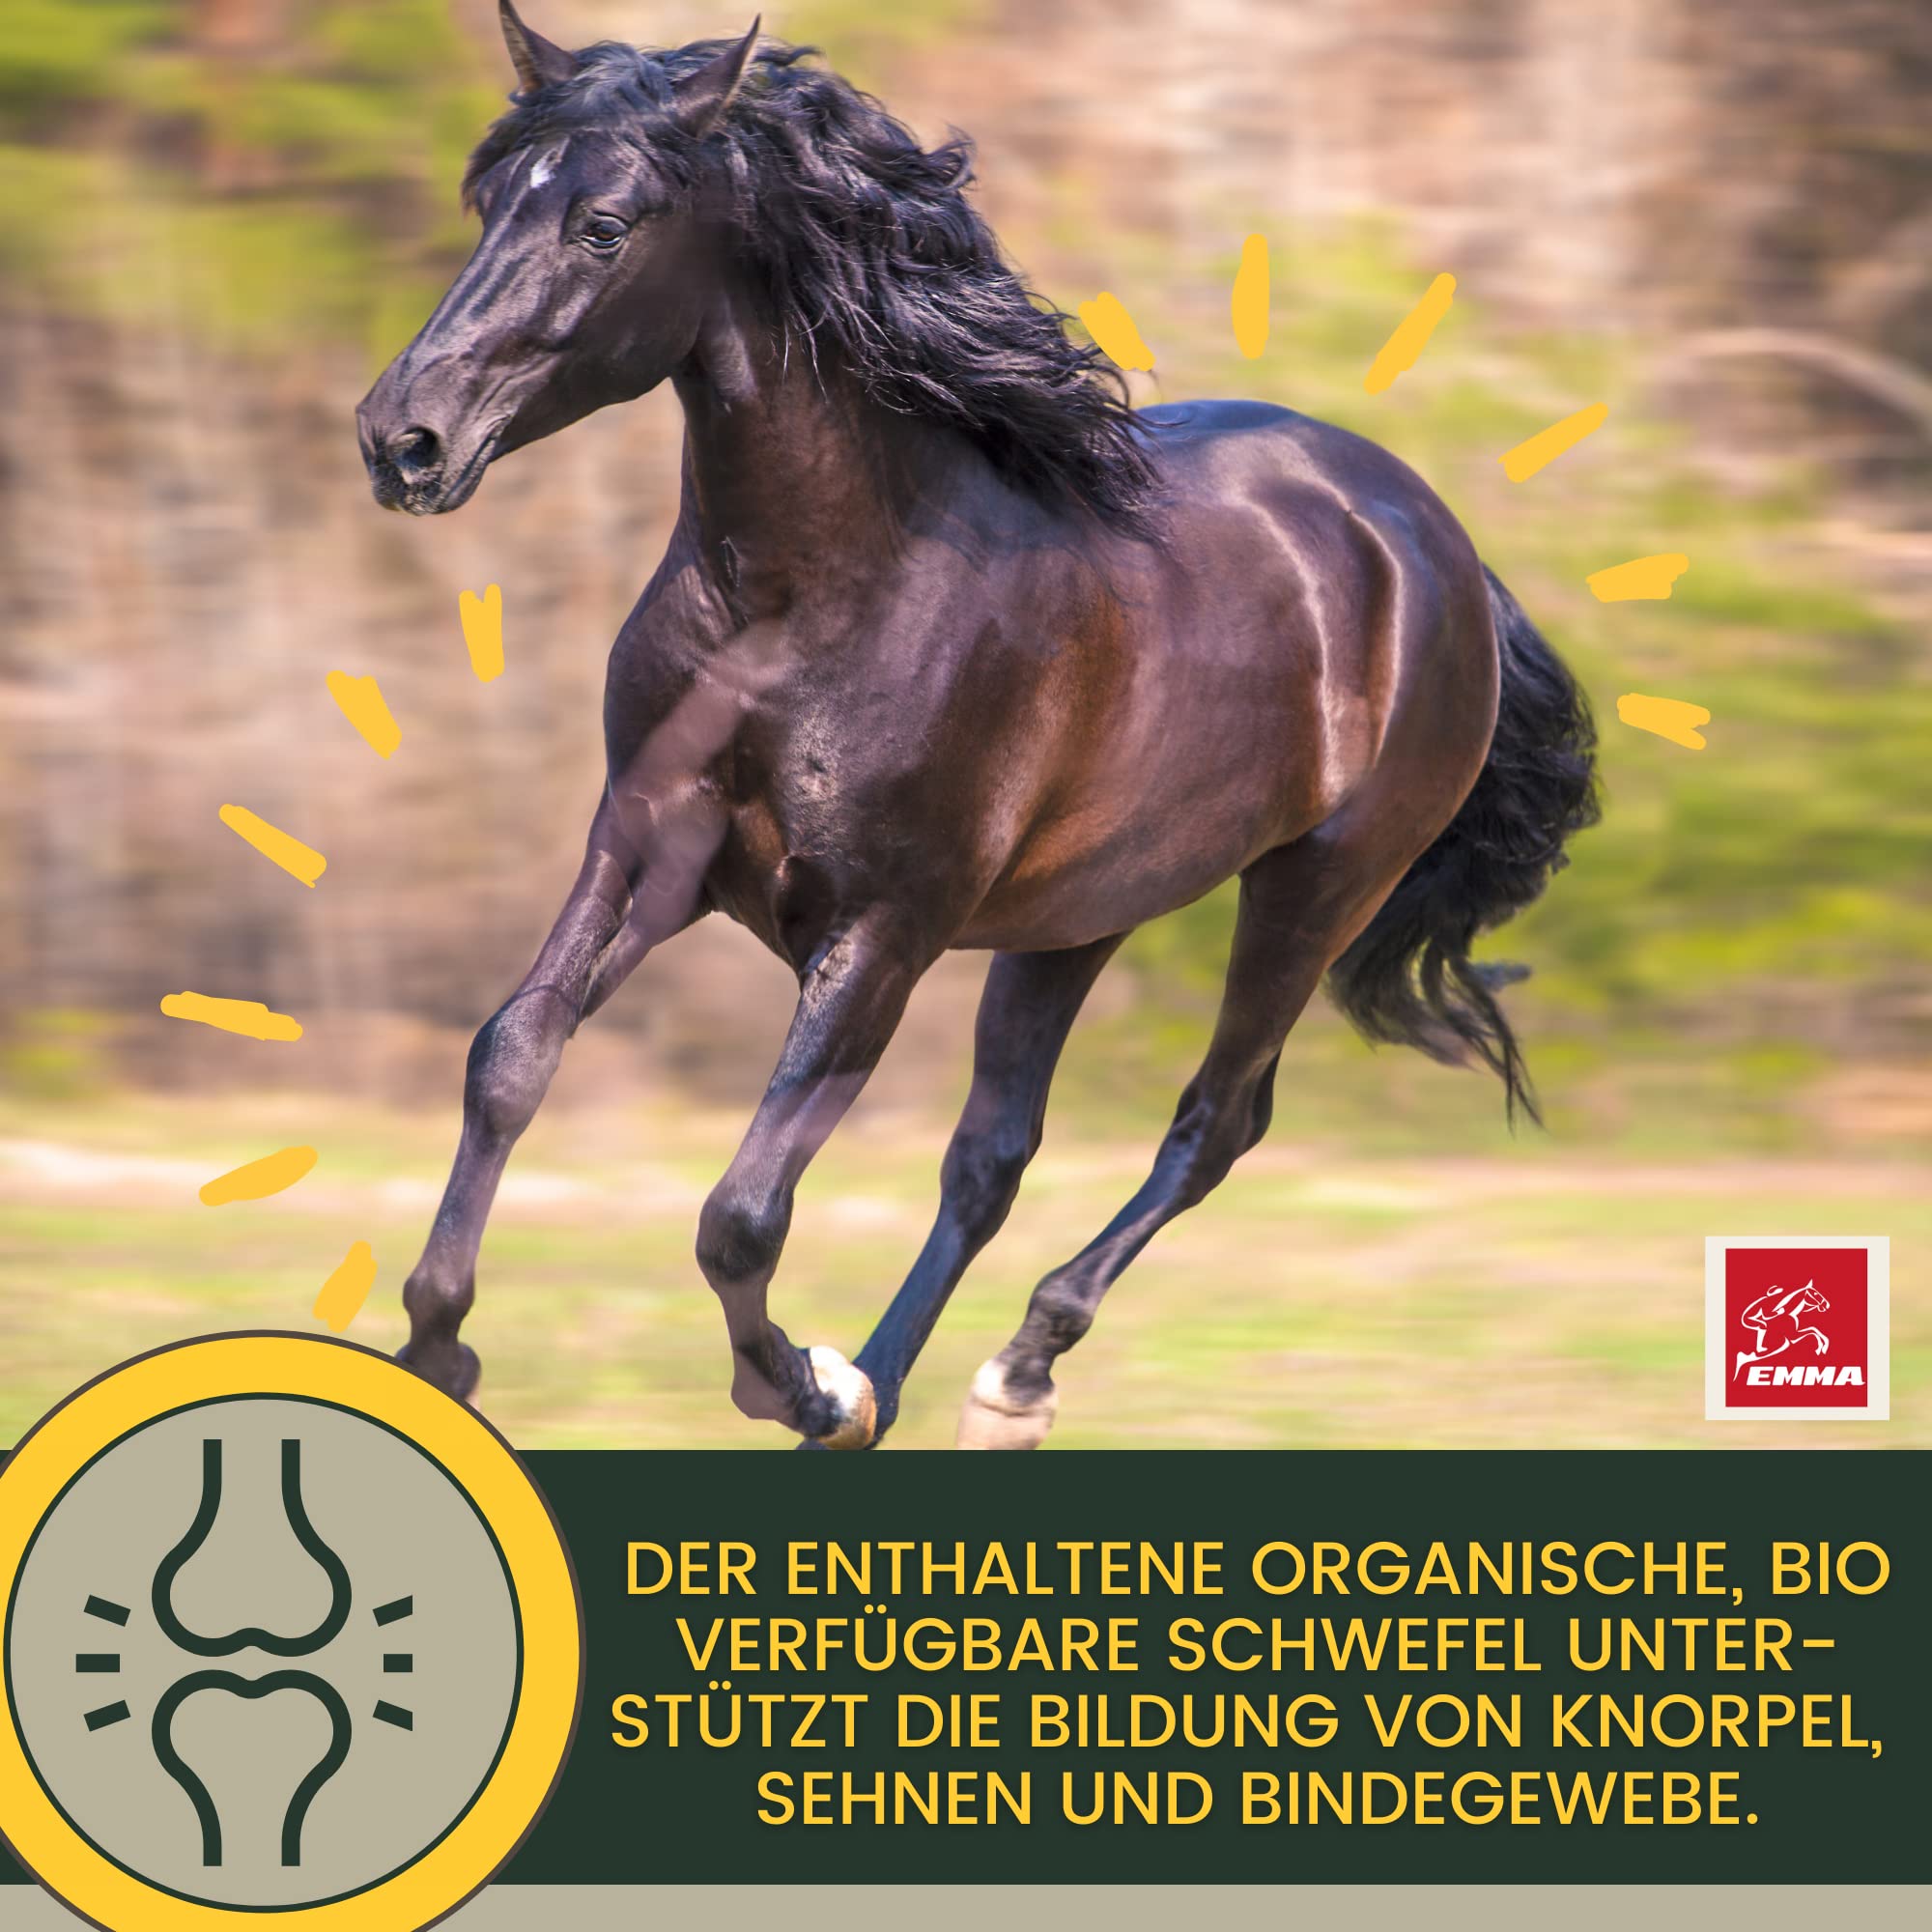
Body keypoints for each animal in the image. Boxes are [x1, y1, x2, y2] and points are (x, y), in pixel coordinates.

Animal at [354, 6, 1600, 1450]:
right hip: (1079, 913)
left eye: (604, 225)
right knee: (994, 1152)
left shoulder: (883, 926)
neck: (811, 596)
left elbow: (741, 1210)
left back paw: (1002, 1376)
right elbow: (511, 1055)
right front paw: (438, 1346)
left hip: (1317, 887)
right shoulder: (648, 844)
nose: (402, 439)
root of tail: (1430, 537)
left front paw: (793, 1380)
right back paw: (904, 1387)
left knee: (1215, 1120)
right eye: (490, 199)